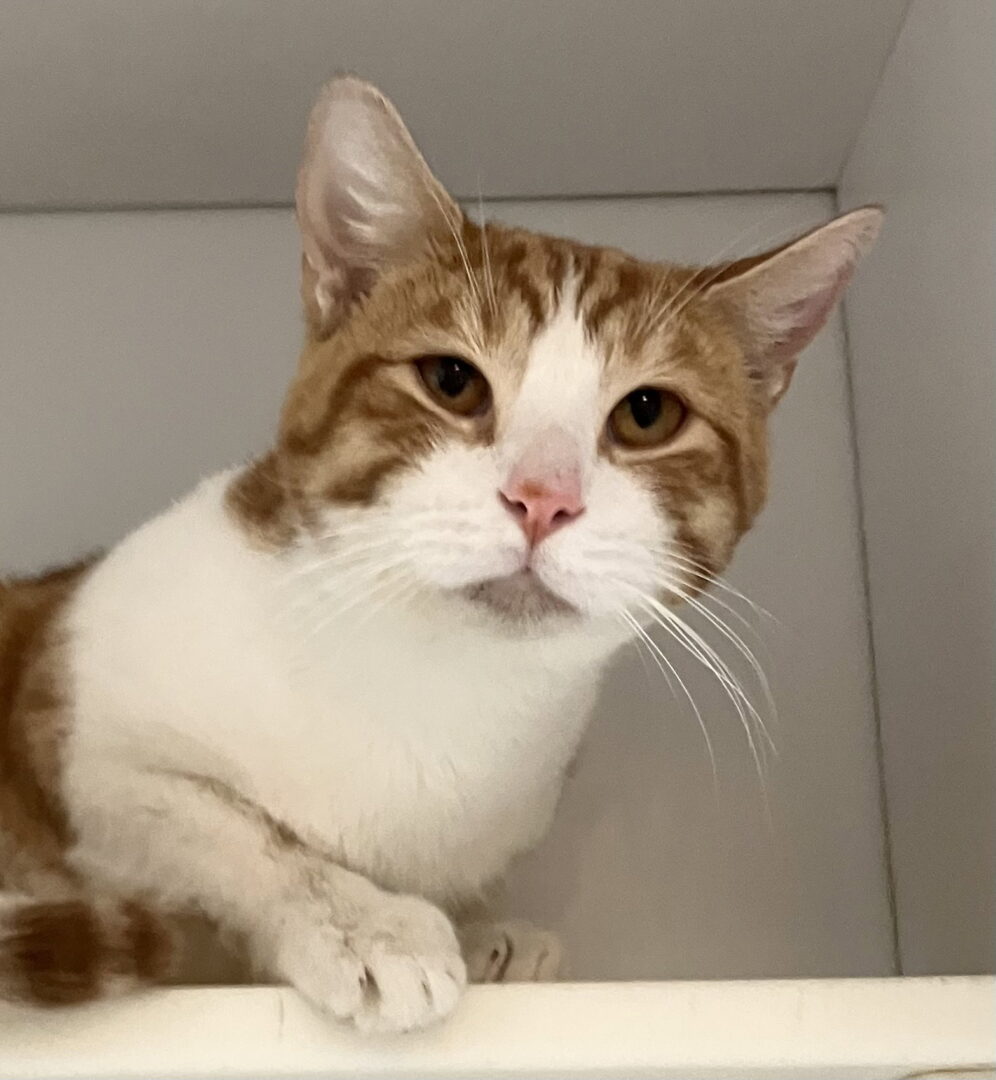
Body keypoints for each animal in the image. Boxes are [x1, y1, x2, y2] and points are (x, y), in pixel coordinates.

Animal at [0, 75, 881, 1032]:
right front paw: (363, 920)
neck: (438, 691)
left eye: (649, 414)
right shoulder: (75, 734)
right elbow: (235, 826)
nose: (543, 498)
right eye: (452, 381)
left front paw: (489, 938)